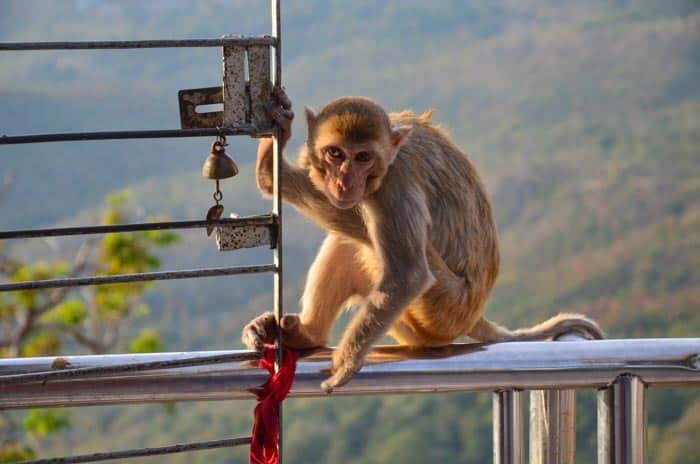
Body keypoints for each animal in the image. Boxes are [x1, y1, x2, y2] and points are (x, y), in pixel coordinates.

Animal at [242, 86, 600, 392]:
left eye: (362, 158)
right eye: (335, 153)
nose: (344, 182)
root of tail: (474, 313)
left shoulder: (392, 187)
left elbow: (408, 275)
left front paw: (347, 361)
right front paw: (274, 149)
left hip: (438, 310)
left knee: (368, 237)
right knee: (349, 237)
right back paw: (308, 333)